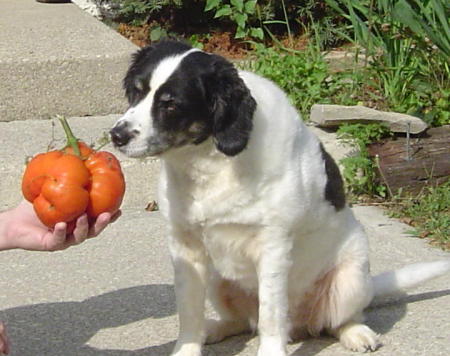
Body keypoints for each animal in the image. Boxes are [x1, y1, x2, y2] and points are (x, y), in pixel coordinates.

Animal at [110, 39, 450, 356]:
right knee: (242, 321)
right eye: (137, 92)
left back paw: (357, 334)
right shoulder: (186, 247)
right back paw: (215, 329)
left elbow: (271, 315)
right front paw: (189, 347)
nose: (117, 135)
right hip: (219, 278)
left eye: (171, 104)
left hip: (351, 277)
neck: (211, 161)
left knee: (340, 319)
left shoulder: (273, 246)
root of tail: (301, 326)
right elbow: (189, 312)